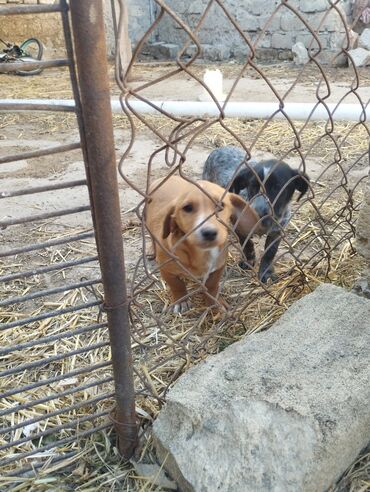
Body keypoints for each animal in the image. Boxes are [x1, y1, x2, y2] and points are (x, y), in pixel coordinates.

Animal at [145, 176, 258, 312]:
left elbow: (212, 285)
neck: (201, 253)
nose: (209, 233)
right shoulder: (166, 269)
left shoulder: (218, 266)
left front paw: (214, 301)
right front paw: (181, 300)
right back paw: (151, 250)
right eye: (187, 208)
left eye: (220, 205)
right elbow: (177, 285)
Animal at [202, 146, 310, 282]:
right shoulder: (239, 226)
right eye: (253, 186)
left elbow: (270, 253)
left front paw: (266, 272)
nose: (257, 214)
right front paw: (248, 261)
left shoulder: (277, 231)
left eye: (277, 187)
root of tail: (221, 148)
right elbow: (247, 243)